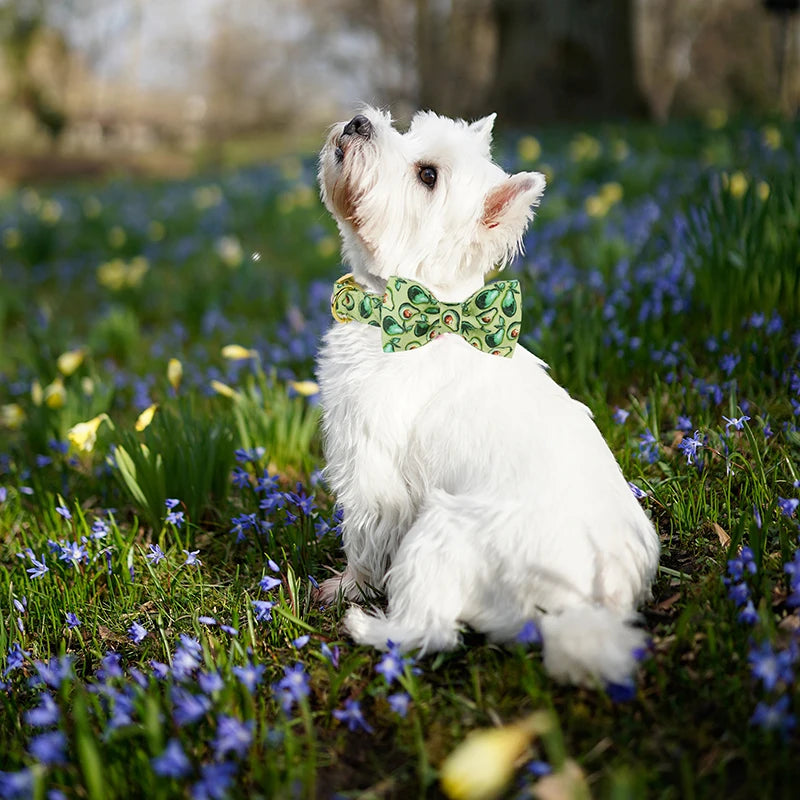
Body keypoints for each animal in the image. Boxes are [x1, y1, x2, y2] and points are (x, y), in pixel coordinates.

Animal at [316, 106, 660, 684]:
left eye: (427, 175)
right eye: (407, 130)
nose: (360, 122)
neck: (417, 313)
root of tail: (585, 601)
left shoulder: (372, 468)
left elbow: (364, 536)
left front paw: (347, 587)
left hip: (440, 531)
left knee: (431, 628)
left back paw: (368, 627)